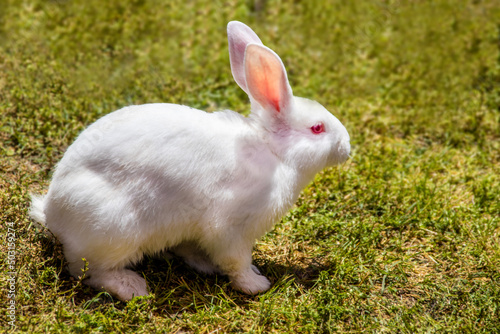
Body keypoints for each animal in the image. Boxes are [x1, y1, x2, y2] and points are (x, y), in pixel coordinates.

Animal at [29, 21, 350, 302]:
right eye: (317, 128)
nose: (347, 147)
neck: (273, 152)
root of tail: (52, 213)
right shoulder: (230, 228)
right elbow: (235, 262)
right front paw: (255, 284)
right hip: (114, 229)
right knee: (88, 271)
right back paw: (132, 287)